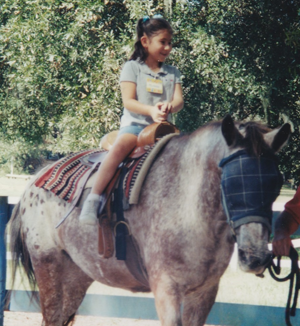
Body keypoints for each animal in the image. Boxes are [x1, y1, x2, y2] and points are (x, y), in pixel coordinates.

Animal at [8, 115, 290, 326]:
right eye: (231, 182)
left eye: (276, 183)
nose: (255, 258)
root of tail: (35, 180)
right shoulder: (166, 290)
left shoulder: (205, 292)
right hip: (48, 266)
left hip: (77, 275)